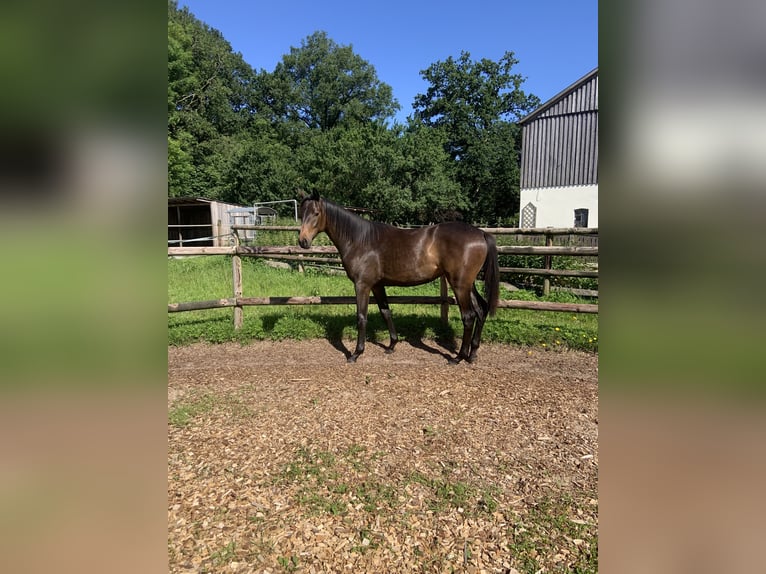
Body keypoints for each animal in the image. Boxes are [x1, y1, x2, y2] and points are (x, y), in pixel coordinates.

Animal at [296, 194, 500, 364]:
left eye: (316, 213)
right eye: (301, 214)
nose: (303, 241)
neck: (360, 240)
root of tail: (481, 233)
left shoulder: (362, 285)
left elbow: (361, 317)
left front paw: (356, 353)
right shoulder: (377, 285)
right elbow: (386, 312)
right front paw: (392, 345)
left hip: (459, 285)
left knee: (469, 316)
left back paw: (458, 357)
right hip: (468, 285)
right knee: (481, 310)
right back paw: (472, 354)